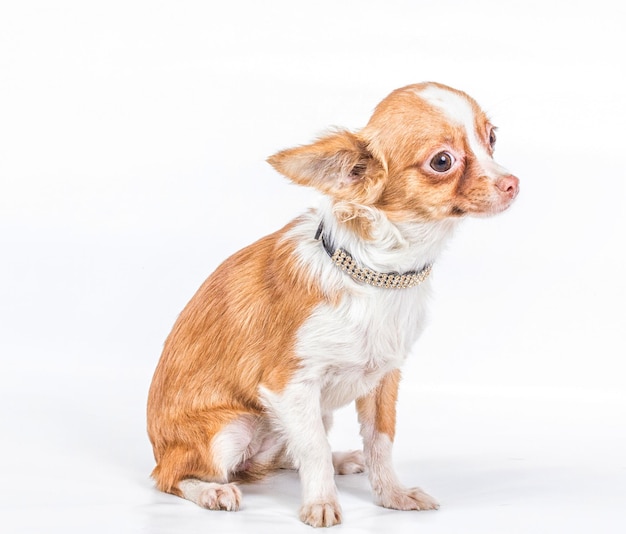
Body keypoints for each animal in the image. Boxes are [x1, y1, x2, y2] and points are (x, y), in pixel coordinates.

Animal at [145, 81, 516, 528]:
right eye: (442, 161)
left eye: (492, 138)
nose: (513, 182)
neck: (381, 274)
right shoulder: (290, 384)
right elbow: (314, 449)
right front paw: (321, 503)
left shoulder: (384, 380)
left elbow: (379, 442)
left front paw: (391, 495)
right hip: (229, 430)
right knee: (171, 477)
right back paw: (211, 491)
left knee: (285, 456)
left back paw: (341, 461)